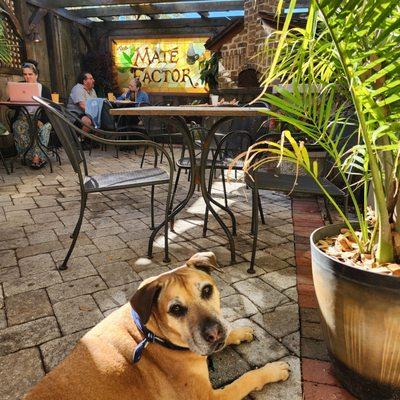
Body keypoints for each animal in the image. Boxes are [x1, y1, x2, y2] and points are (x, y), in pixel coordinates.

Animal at [24, 253, 288, 400]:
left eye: (207, 290)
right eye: (176, 309)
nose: (214, 334)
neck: (149, 334)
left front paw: (240, 331)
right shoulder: (209, 397)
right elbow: (246, 379)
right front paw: (273, 369)